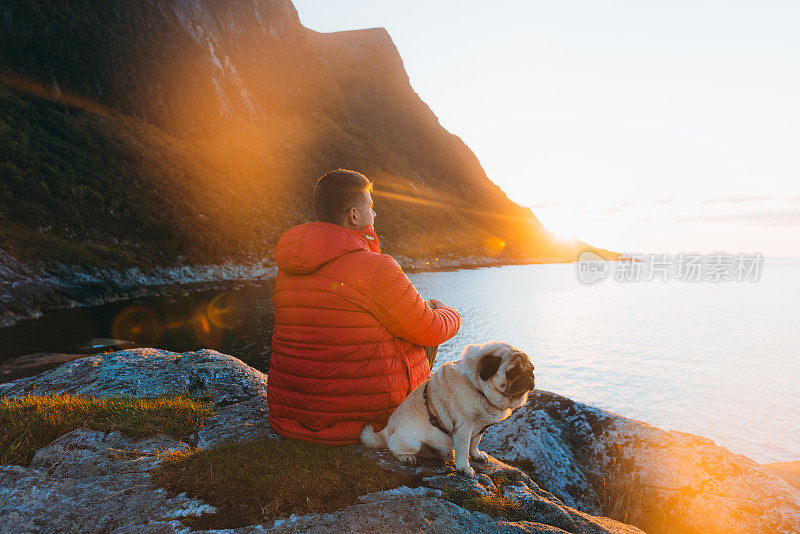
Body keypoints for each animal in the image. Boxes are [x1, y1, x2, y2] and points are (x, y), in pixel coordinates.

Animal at [362, 342, 536, 480]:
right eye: (512, 372)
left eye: (532, 368)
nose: (529, 375)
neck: (477, 387)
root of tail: (387, 429)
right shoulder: (464, 429)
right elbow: (463, 450)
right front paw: (464, 469)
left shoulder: (480, 428)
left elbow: (475, 443)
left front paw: (476, 455)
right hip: (411, 441)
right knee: (393, 448)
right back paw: (407, 458)